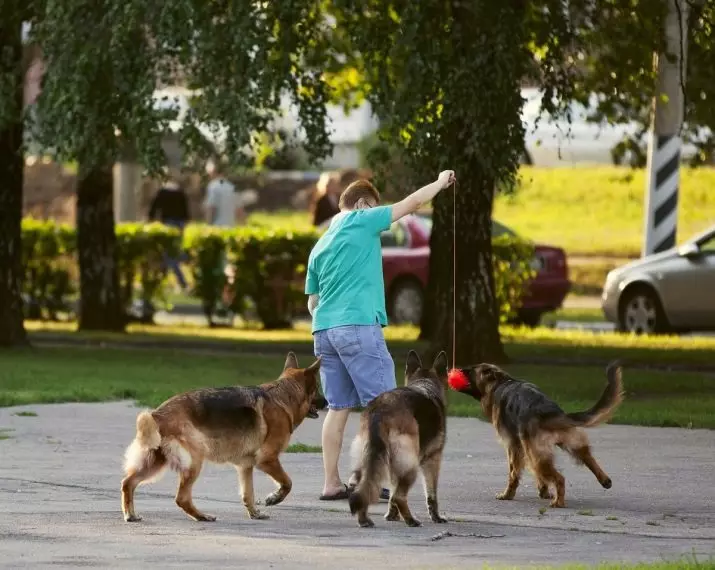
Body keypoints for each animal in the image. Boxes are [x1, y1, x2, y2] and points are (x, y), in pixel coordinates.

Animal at [121, 352, 328, 520]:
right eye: (317, 388)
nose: (327, 402)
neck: (284, 395)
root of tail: (158, 414)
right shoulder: (267, 460)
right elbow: (287, 482)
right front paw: (274, 498)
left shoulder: (246, 466)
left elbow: (248, 494)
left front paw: (254, 513)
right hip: (193, 462)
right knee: (181, 498)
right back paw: (202, 516)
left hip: (155, 463)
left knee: (128, 483)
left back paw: (131, 515)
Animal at [346, 348, 448, 524]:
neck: (425, 384)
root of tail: (380, 409)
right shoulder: (432, 460)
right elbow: (431, 494)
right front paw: (436, 517)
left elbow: (392, 495)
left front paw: (391, 515)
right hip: (411, 465)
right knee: (400, 496)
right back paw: (411, 521)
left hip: (368, 461)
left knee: (365, 489)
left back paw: (364, 520)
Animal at [450, 360, 624, 506]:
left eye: (471, 370)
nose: (455, 370)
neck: (501, 382)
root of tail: (550, 412)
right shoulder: (525, 450)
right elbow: (537, 476)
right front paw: (543, 491)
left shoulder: (513, 447)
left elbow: (513, 474)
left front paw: (508, 495)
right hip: (567, 446)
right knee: (589, 459)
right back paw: (604, 480)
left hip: (537, 456)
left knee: (560, 478)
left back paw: (558, 502)